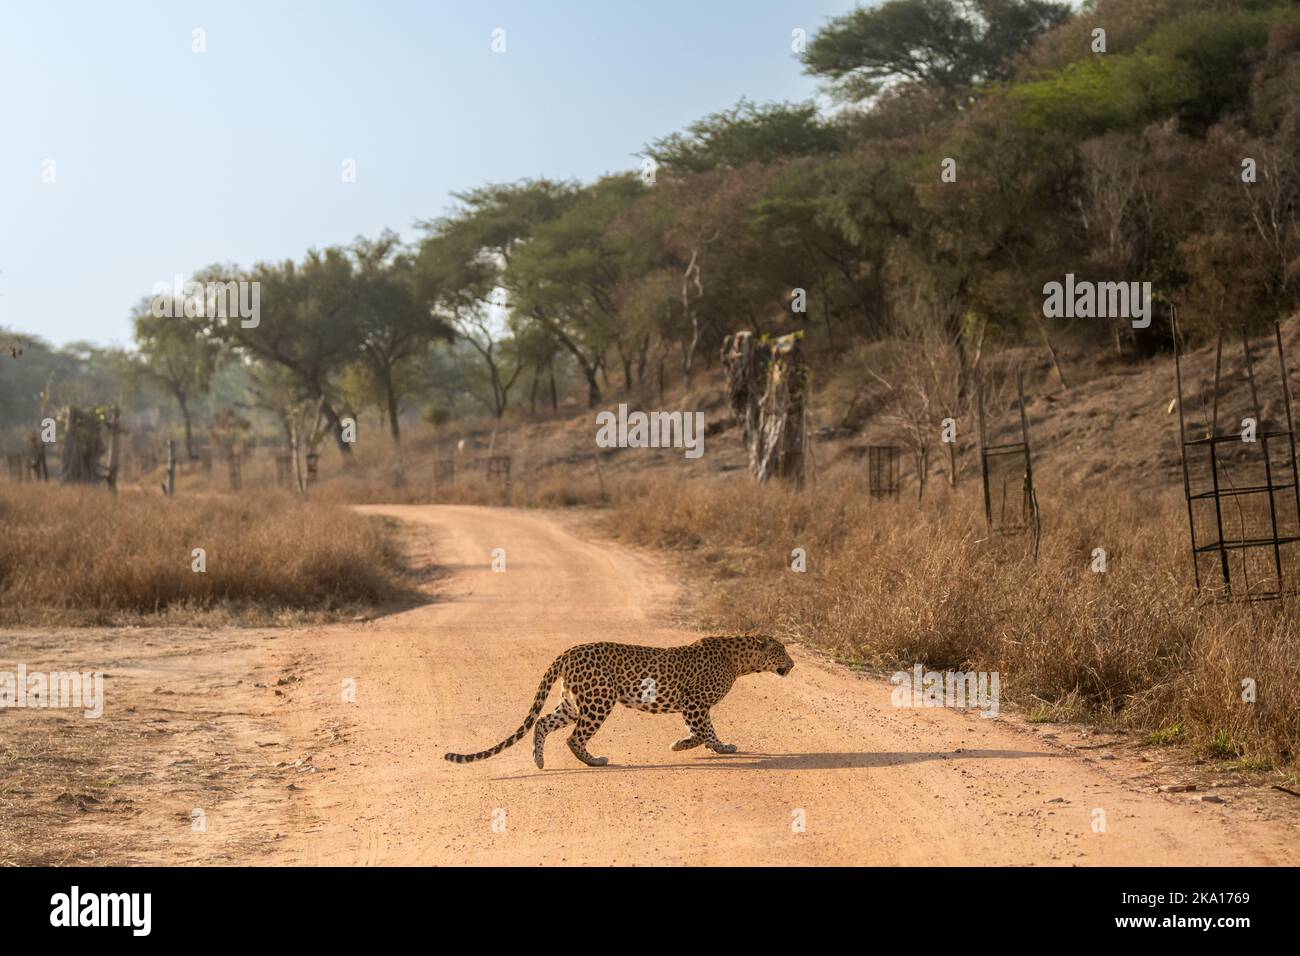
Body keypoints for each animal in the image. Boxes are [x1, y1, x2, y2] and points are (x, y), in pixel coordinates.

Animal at [444, 634, 790, 770]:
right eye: (782, 651)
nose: (794, 663)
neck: (741, 662)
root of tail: (569, 650)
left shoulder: (692, 706)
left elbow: (699, 730)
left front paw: (682, 743)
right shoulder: (694, 702)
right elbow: (706, 731)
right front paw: (718, 747)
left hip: (573, 702)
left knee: (543, 723)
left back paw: (539, 760)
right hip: (599, 700)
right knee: (573, 738)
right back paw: (595, 761)